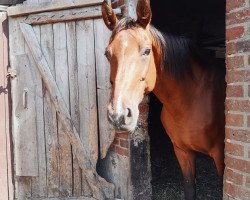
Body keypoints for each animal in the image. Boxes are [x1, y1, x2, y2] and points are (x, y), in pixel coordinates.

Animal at [100, 0, 226, 199]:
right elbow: (190, 189)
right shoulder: (183, 152)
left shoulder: (221, 156)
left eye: (146, 51)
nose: (118, 116)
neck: (191, 100)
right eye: (107, 53)